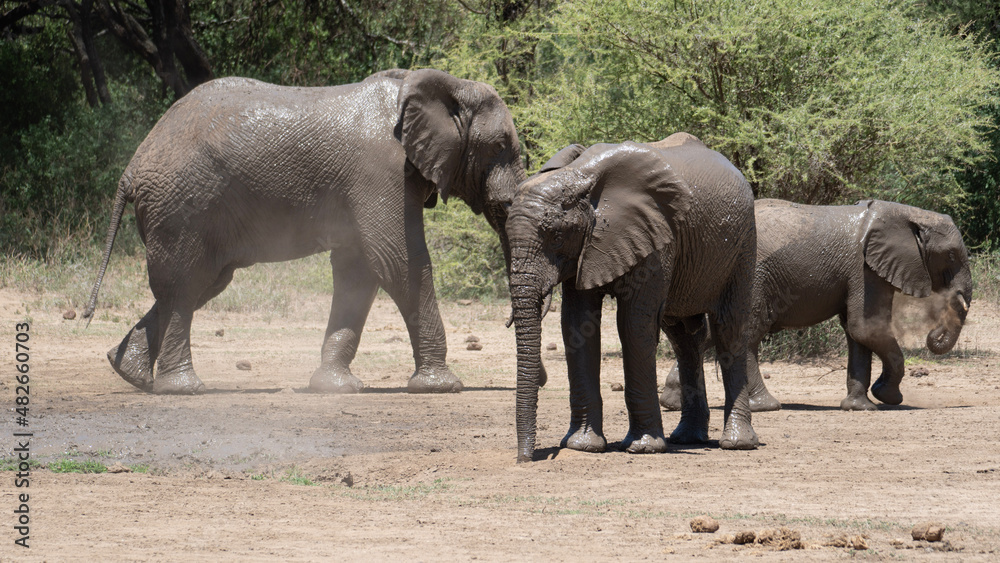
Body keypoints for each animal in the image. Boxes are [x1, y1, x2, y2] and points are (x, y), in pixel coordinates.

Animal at [82, 68, 526, 395]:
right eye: (501, 145)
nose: (506, 322)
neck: (445, 85)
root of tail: (132, 167)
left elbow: (358, 270)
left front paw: (335, 387)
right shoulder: (381, 173)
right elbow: (398, 260)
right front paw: (442, 386)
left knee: (202, 282)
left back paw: (129, 373)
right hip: (181, 205)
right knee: (184, 285)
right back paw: (183, 389)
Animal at [506, 132, 760, 463]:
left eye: (557, 237)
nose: (525, 459)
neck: (581, 176)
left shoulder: (655, 238)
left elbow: (633, 324)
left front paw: (643, 447)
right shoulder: (586, 249)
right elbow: (576, 325)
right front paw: (582, 446)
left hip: (743, 243)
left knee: (728, 328)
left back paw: (738, 443)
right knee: (684, 339)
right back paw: (687, 438)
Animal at [660, 198, 973, 412]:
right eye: (952, 256)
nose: (934, 335)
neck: (908, 214)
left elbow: (857, 333)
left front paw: (859, 408)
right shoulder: (865, 270)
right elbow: (866, 328)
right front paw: (888, 397)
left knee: (708, 334)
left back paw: (674, 403)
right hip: (753, 275)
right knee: (745, 336)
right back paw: (766, 405)